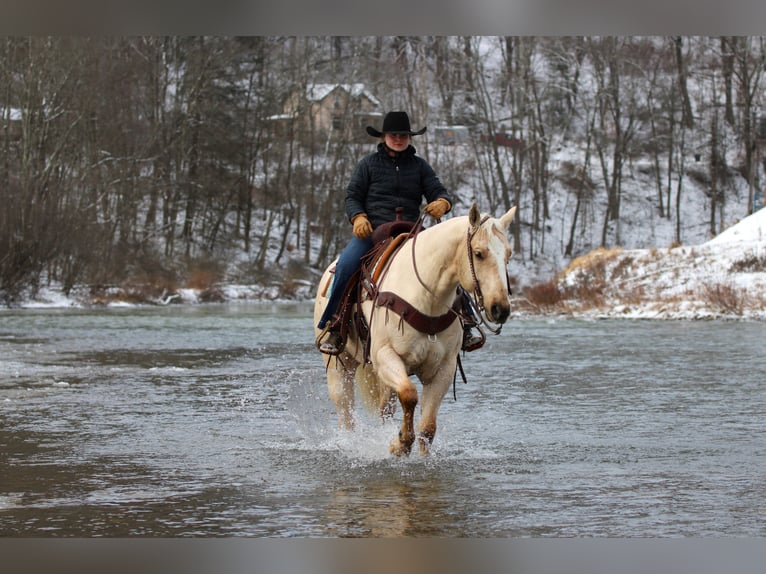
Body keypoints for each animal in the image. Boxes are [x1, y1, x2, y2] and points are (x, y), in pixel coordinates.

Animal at [313, 203, 517, 455]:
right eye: (479, 253)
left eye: (508, 254)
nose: (500, 309)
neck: (425, 297)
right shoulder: (385, 356)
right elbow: (409, 395)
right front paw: (399, 443)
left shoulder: (443, 369)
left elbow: (427, 428)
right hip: (341, 366)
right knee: (345, 407)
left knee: (385, 408)